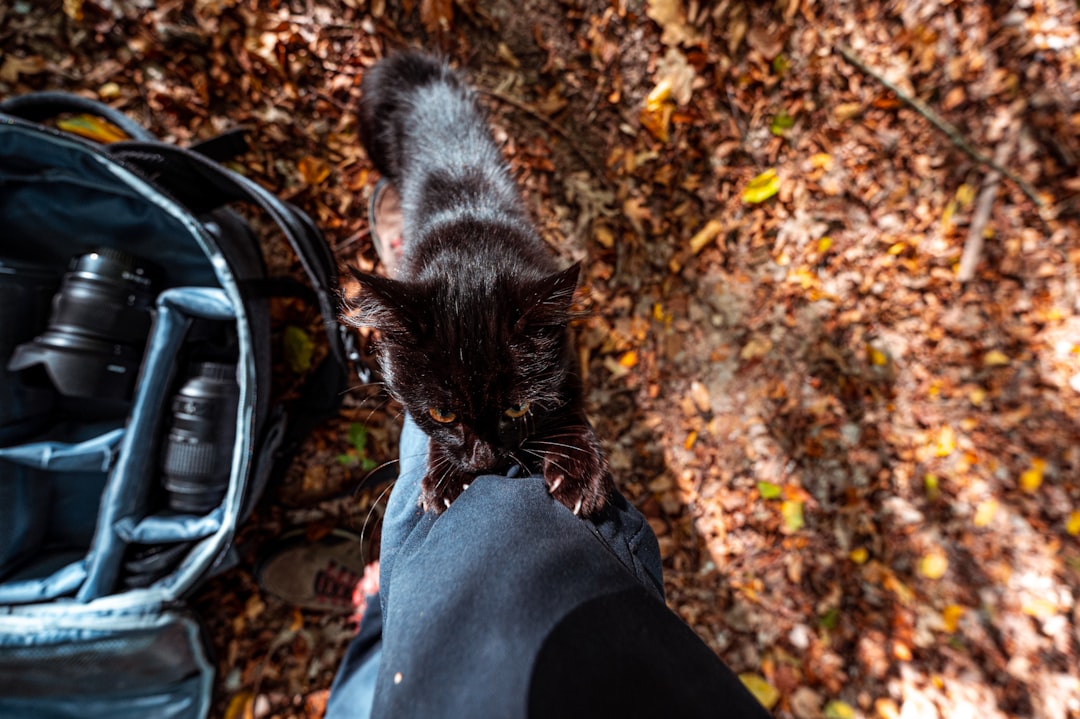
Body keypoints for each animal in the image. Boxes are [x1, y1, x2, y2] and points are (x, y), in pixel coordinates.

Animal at [347, 53, 617, 518]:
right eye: (441, 414)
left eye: (517, 408)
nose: (484, 461)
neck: (471, 238)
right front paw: (444, 476)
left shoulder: (566, 354)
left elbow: (568, 401)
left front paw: (578, 468)